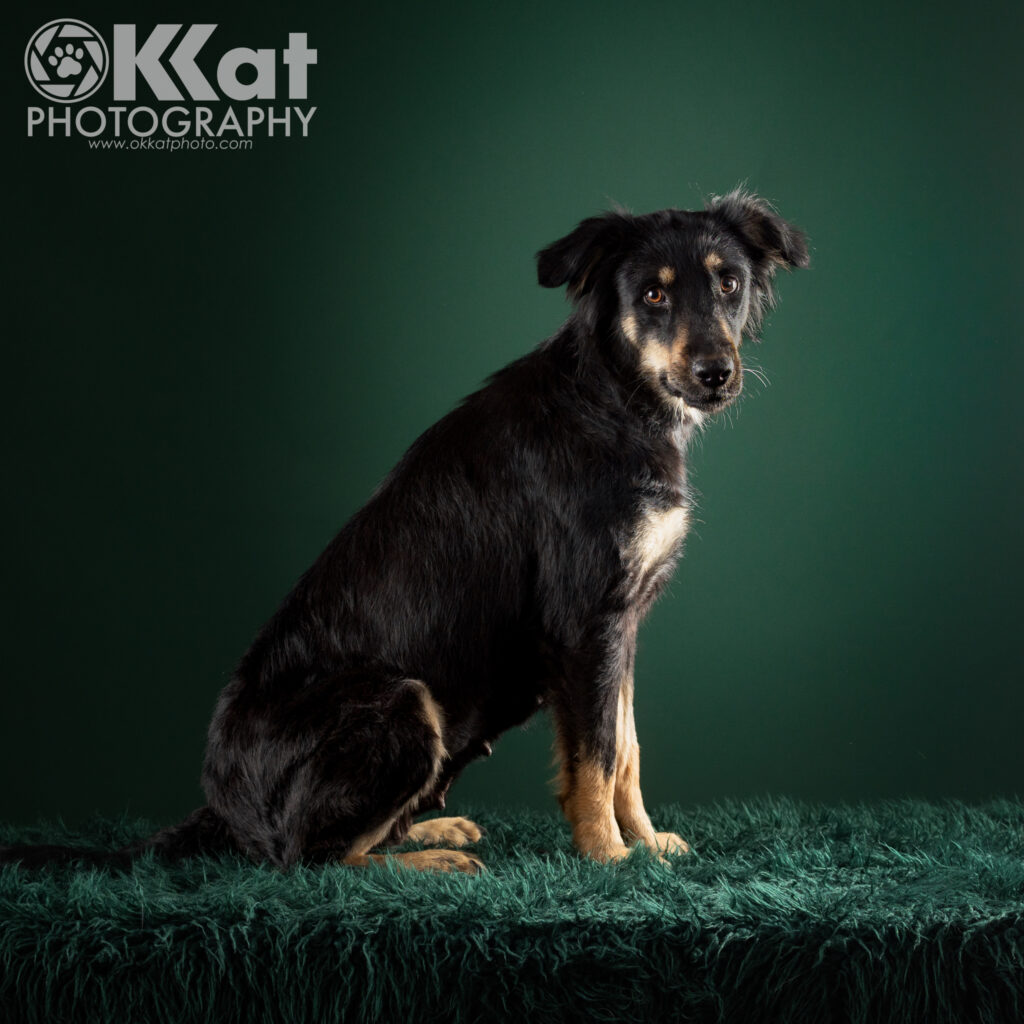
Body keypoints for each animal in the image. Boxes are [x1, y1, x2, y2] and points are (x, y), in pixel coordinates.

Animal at [4, 190, 811, 872]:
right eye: (653, 294)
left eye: (729, 285)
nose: (716, 373)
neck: (612, 398)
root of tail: (223, 810)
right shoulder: (585, 623)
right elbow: (597, 755)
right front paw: (609, 859)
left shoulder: (623, 623)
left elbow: (628, 747)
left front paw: (643, 842)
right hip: (402, 699)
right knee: (310, 860)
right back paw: (432, 863)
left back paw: (428, 830)